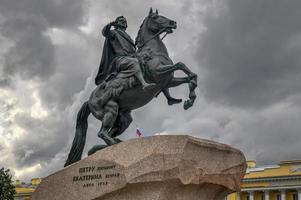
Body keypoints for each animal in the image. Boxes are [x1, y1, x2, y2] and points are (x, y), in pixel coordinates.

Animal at [64, 8, 197, 166]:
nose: (173, 23)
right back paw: (113, 146)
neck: (153, 51)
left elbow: (189, 78)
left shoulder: (168, 81)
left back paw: (111, 144)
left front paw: (189, 100)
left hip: (123, 119)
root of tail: (88, 101)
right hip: (110, 110)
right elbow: (181, 64)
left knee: (109, 133)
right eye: (156, 17)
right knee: (102, 133)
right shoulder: (158, 73)